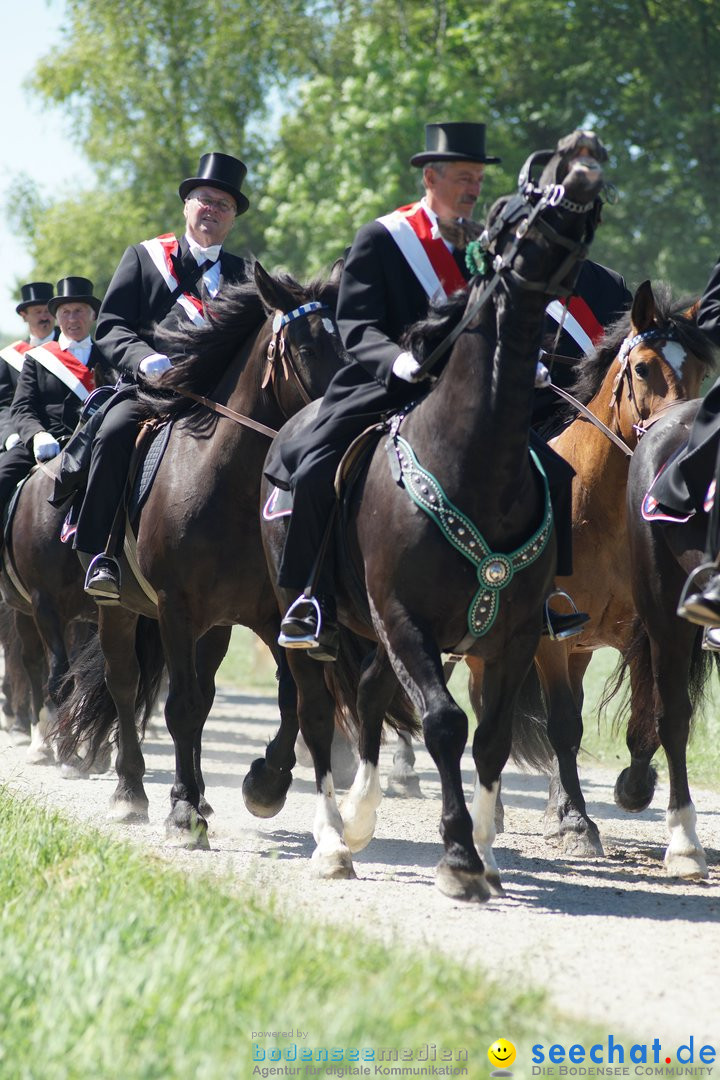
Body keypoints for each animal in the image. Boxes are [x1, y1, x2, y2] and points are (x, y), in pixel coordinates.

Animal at [56, 263, 349, 842]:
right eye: (305, 346)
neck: (226, 483)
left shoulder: (268, 614)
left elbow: (288, 699)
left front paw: (264, 785)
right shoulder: (175, 608)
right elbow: (182, 706)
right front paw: (183, 812)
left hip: (215, 627)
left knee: (206, 691)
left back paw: (199, 794)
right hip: (119, 608)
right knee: (125, 685)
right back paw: (132, 792)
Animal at [255, 130, 604, 898]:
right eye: (523, 200)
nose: (585, 155)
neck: (476, 464)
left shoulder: (510, 636)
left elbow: (490, 737)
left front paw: (487, 853)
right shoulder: (404, 618)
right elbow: (444, 724)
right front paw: (457, 857)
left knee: (367, 700)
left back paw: (361, 819)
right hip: (313, 625)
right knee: (320, 716)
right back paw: (334, 842)